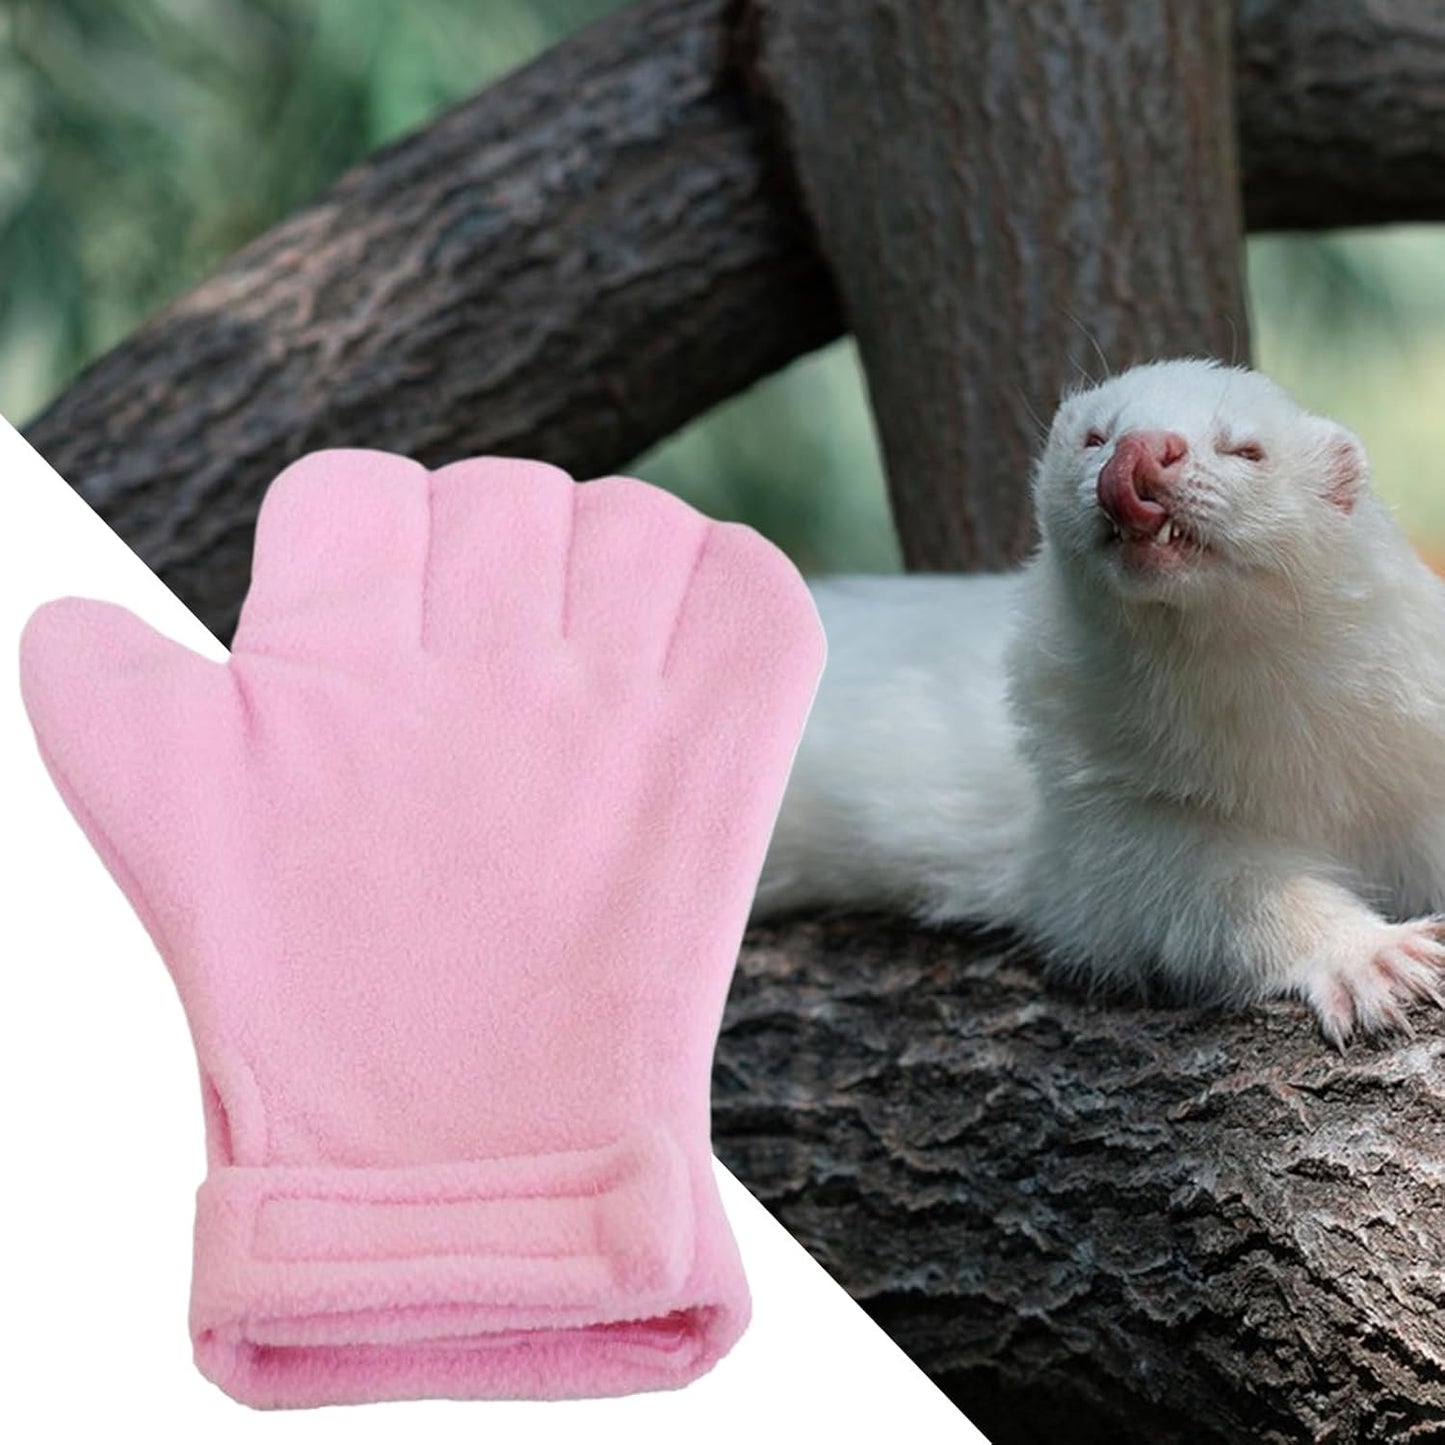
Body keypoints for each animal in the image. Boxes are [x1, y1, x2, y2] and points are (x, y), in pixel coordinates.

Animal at [756, 359, 1445, 1047]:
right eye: (1096, 436)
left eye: (1246, 448)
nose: (1143, 449)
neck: (1289, 763)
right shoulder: (1107, 817)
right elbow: (1224, 898)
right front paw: (1374, 956)